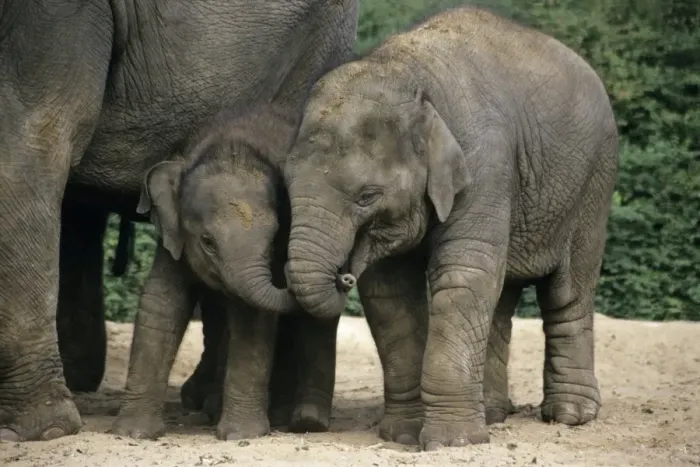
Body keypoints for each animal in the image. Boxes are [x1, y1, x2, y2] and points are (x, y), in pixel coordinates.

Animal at [112, 103, 340, 441]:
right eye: (207, 242)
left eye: (274, 238)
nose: (288, 268)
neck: (231, 149)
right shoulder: (173, 236)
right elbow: (162, 302)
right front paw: (133, 433)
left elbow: (252, 316)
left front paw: (240, 435)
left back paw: (296, 420)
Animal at [283, 7, 618, 451]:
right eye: (286, 184)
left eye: (367, 196)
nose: (344, 274)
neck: (410, 77)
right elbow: (391, 294)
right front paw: (403, 434)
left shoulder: (485, 163)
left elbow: (463, 275)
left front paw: (453, 442)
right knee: (501, 297)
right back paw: (493, 414)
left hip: (594, 182)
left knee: (568, 292)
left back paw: (570, 416)